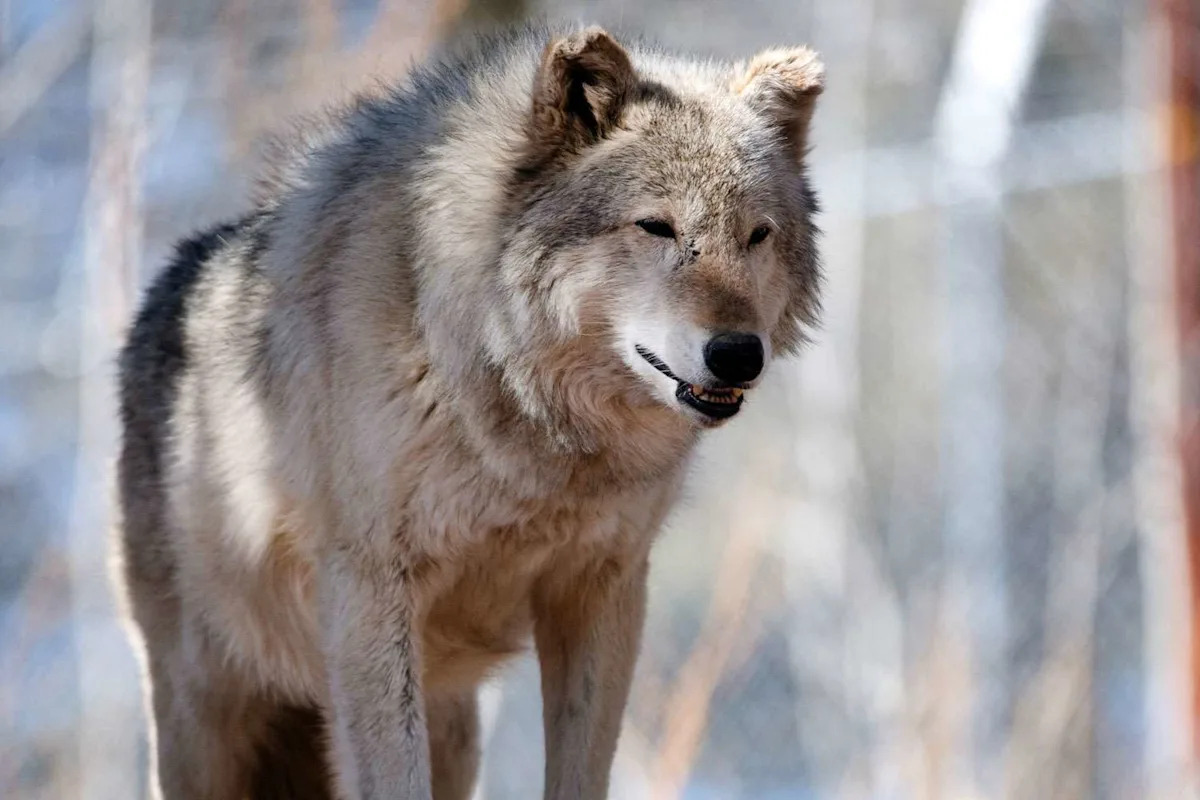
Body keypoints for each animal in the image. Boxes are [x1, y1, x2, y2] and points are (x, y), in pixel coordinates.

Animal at [116, 22, 823, 800]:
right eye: (656, 227)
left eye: (757, 235)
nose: (739, 354)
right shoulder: (370, 594)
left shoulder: (602, 587)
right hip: (204, 721)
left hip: (450, 724)